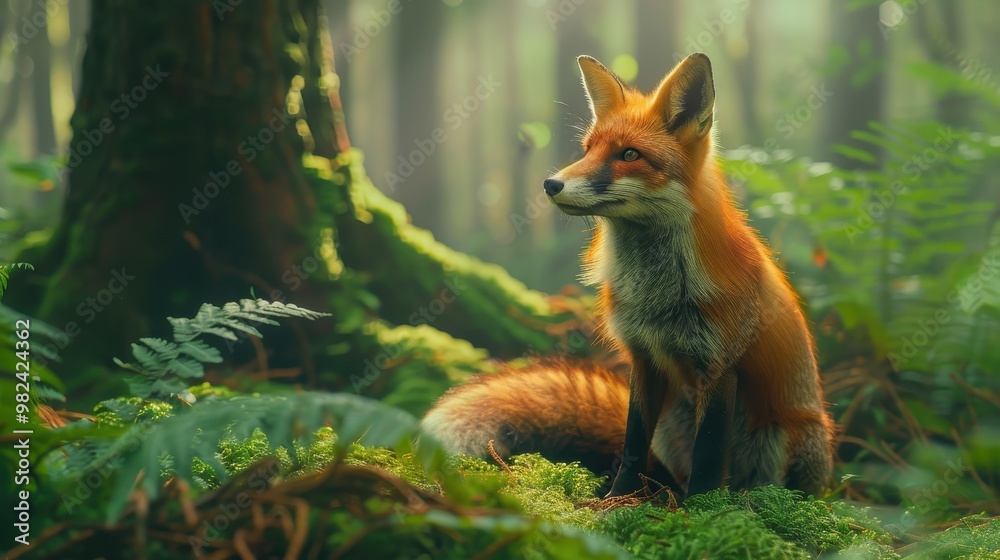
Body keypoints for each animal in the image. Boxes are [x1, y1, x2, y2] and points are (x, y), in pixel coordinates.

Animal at [421, 53, 835, 499]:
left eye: (630, 155)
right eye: (588, 149)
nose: (550, 184)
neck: (658, 295)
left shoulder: (720, 366)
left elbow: (709, 456)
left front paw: (703, 509)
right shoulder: (643, 356)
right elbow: (632, 441)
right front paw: (617, 498)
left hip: (785, 437)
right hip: (671, 425)